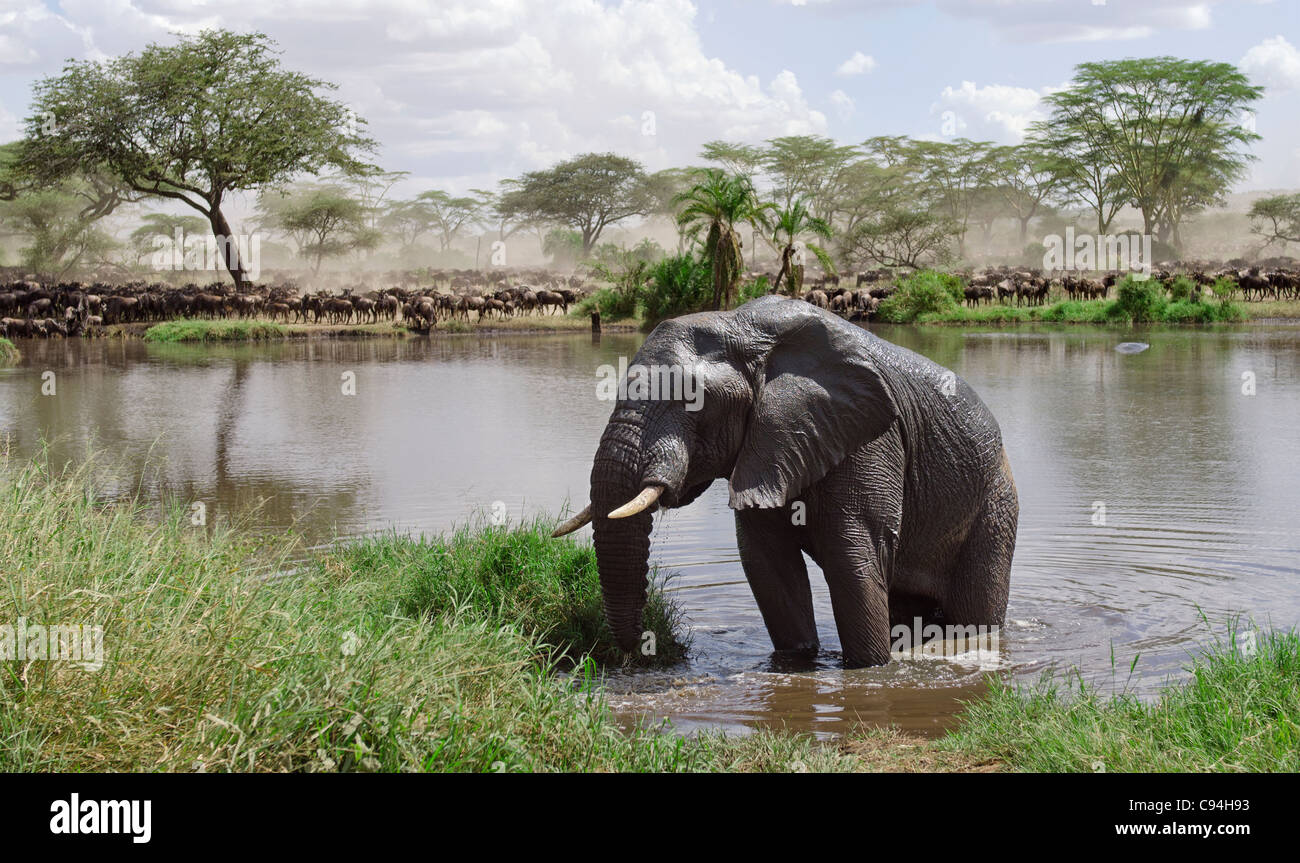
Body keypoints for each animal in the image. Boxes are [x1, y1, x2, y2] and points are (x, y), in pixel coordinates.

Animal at [548, 295, 1013, 665]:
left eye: (693, 399)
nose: (640, 650)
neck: (742, 325)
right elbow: (768, 563)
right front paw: (798, 662)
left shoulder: (869, 440)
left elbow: (852, 557)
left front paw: (869, 670)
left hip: (994, 503)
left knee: (975, 611)